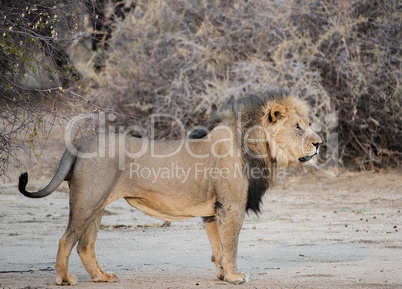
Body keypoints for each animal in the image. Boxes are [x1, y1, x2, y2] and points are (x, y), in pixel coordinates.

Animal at [18, 89, 322, 284]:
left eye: (308, 123)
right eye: (298, 127)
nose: (319, 143)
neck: (255, 145)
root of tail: (82, 140)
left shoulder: (213, 211)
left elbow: (218, 247)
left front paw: (223, 275)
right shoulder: (231, 206)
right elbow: (231, 245)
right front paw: (236, 276)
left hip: (97, 204)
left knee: (85, 244)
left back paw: (102, 277)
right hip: (87, 200)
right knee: (66, 239)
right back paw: (65, 278)